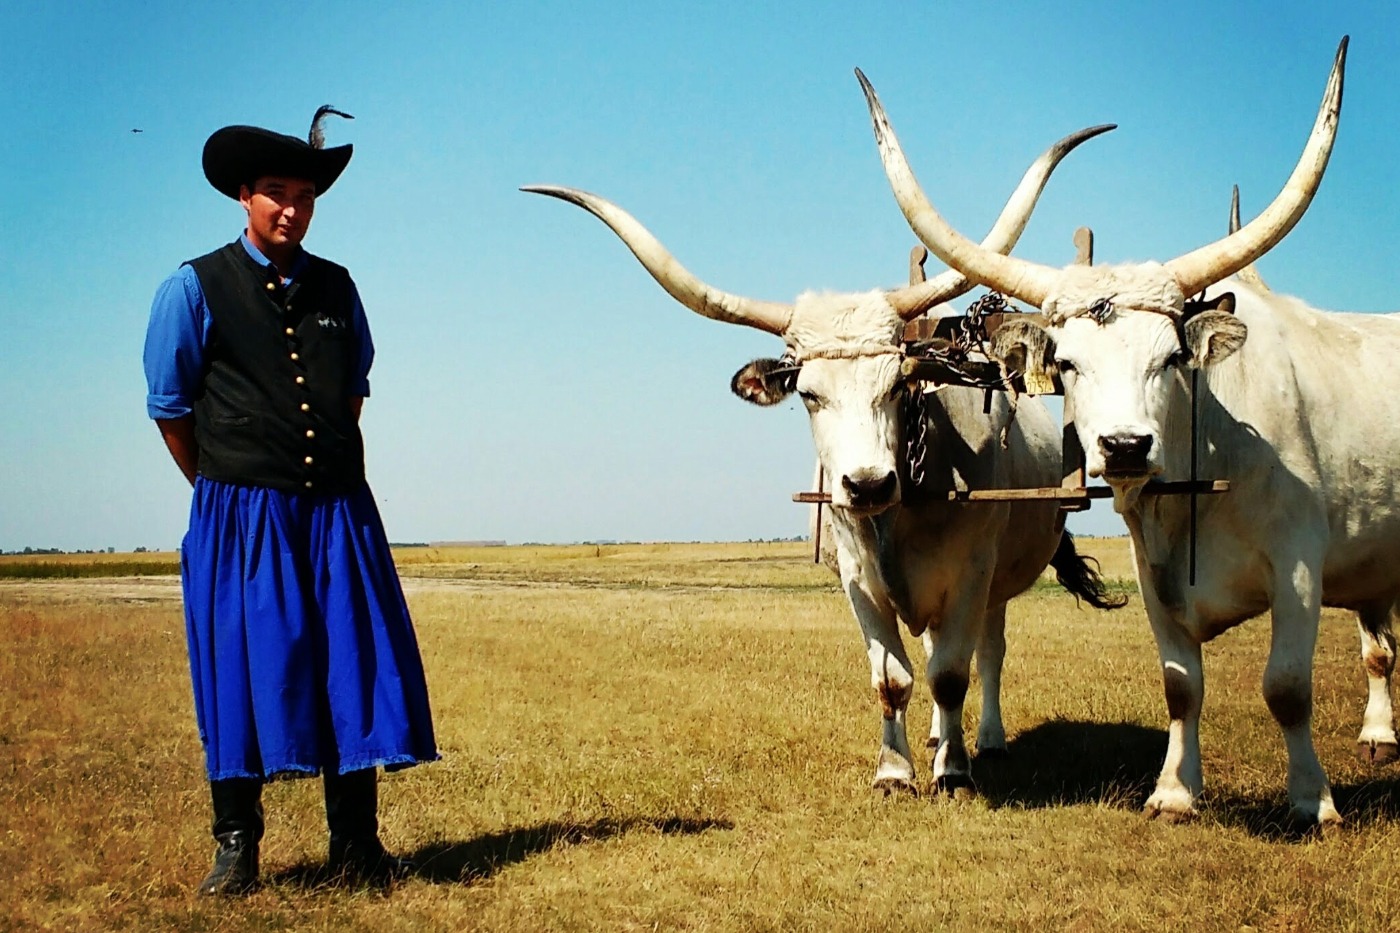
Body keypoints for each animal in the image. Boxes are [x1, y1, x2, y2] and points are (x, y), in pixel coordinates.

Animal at [524, 123, 1124, 797]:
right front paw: (895, 770)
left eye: (898, 383)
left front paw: (952, 771)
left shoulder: (972, 572)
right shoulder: (856, 578)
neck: (905, 503)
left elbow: (950, 675)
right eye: (809, 394)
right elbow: (893, 679)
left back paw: (983, 740)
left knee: (987, 653)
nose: (866, 484)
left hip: (1000, 579)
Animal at [858, 39, 1383, 826]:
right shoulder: (1152, 569)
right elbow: (1181, 684)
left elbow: (1287, 687)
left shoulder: (1300, 564)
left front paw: (1311, 802)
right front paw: (1174, 792)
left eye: (1170, 358)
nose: (1126, 447)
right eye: (1068, 362)